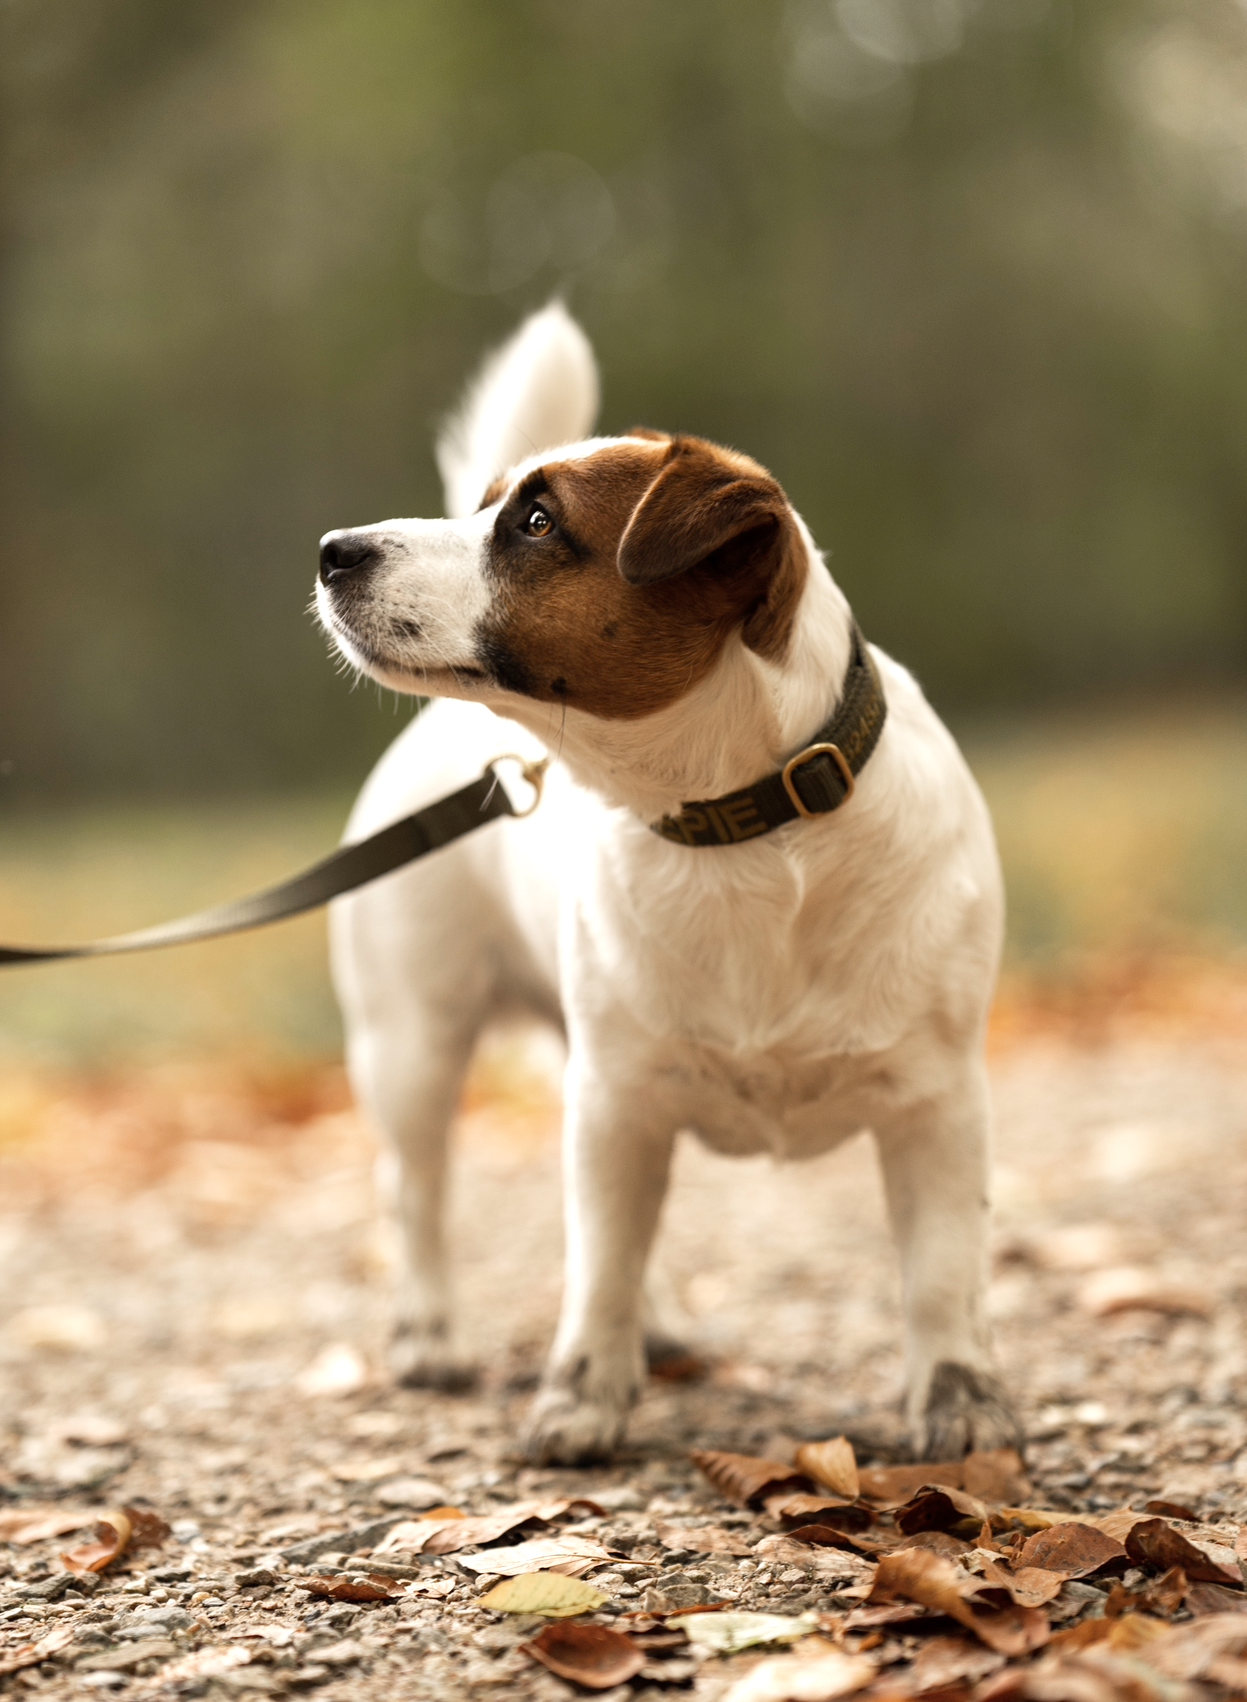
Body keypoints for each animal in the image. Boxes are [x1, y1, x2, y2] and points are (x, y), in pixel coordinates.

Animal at [316, 302, 1013, 1463]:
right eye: (489, 504)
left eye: (535, 521)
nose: (332, 550)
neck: (744, 825)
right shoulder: (615, 1099)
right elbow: (595, 1267)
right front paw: (580, 1398)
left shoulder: (937, 1103)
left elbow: (939, 1272)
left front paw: (955, 1396)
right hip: (413, 1043)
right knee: (414, 1189)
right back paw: (430, 1335)